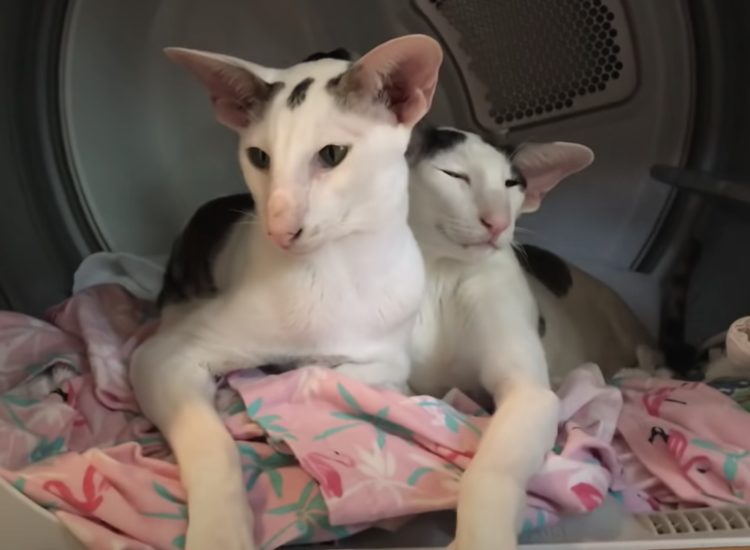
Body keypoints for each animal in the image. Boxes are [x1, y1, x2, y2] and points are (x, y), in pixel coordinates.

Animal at [129, 36, 443, 550]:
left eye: (332, 154)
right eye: (259, 157)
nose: (280, 229)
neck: (334, 273)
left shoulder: (391, 349)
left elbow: (352, 375)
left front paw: (303, 380)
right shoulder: (161, 356)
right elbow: (210, 437)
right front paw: (222, 532)